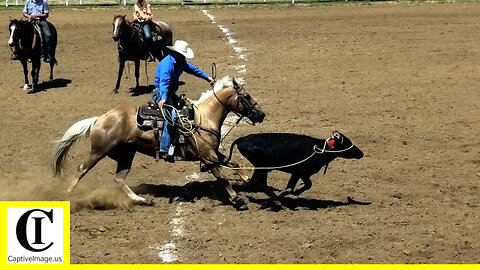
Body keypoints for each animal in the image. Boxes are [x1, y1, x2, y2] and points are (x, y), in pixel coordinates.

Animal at [54, 76, 268, 211]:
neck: (203, 119)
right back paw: (67, 196)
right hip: (98, 151)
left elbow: (234, 163)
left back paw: (140, 199)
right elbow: (222, 178)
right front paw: (238, 200)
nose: (261, 115)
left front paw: (248, 180)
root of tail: (100, 118)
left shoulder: (213, 153)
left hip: (126, 154)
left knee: (119, 178)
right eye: (246, 96)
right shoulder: (207, 157)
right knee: (81, 170)